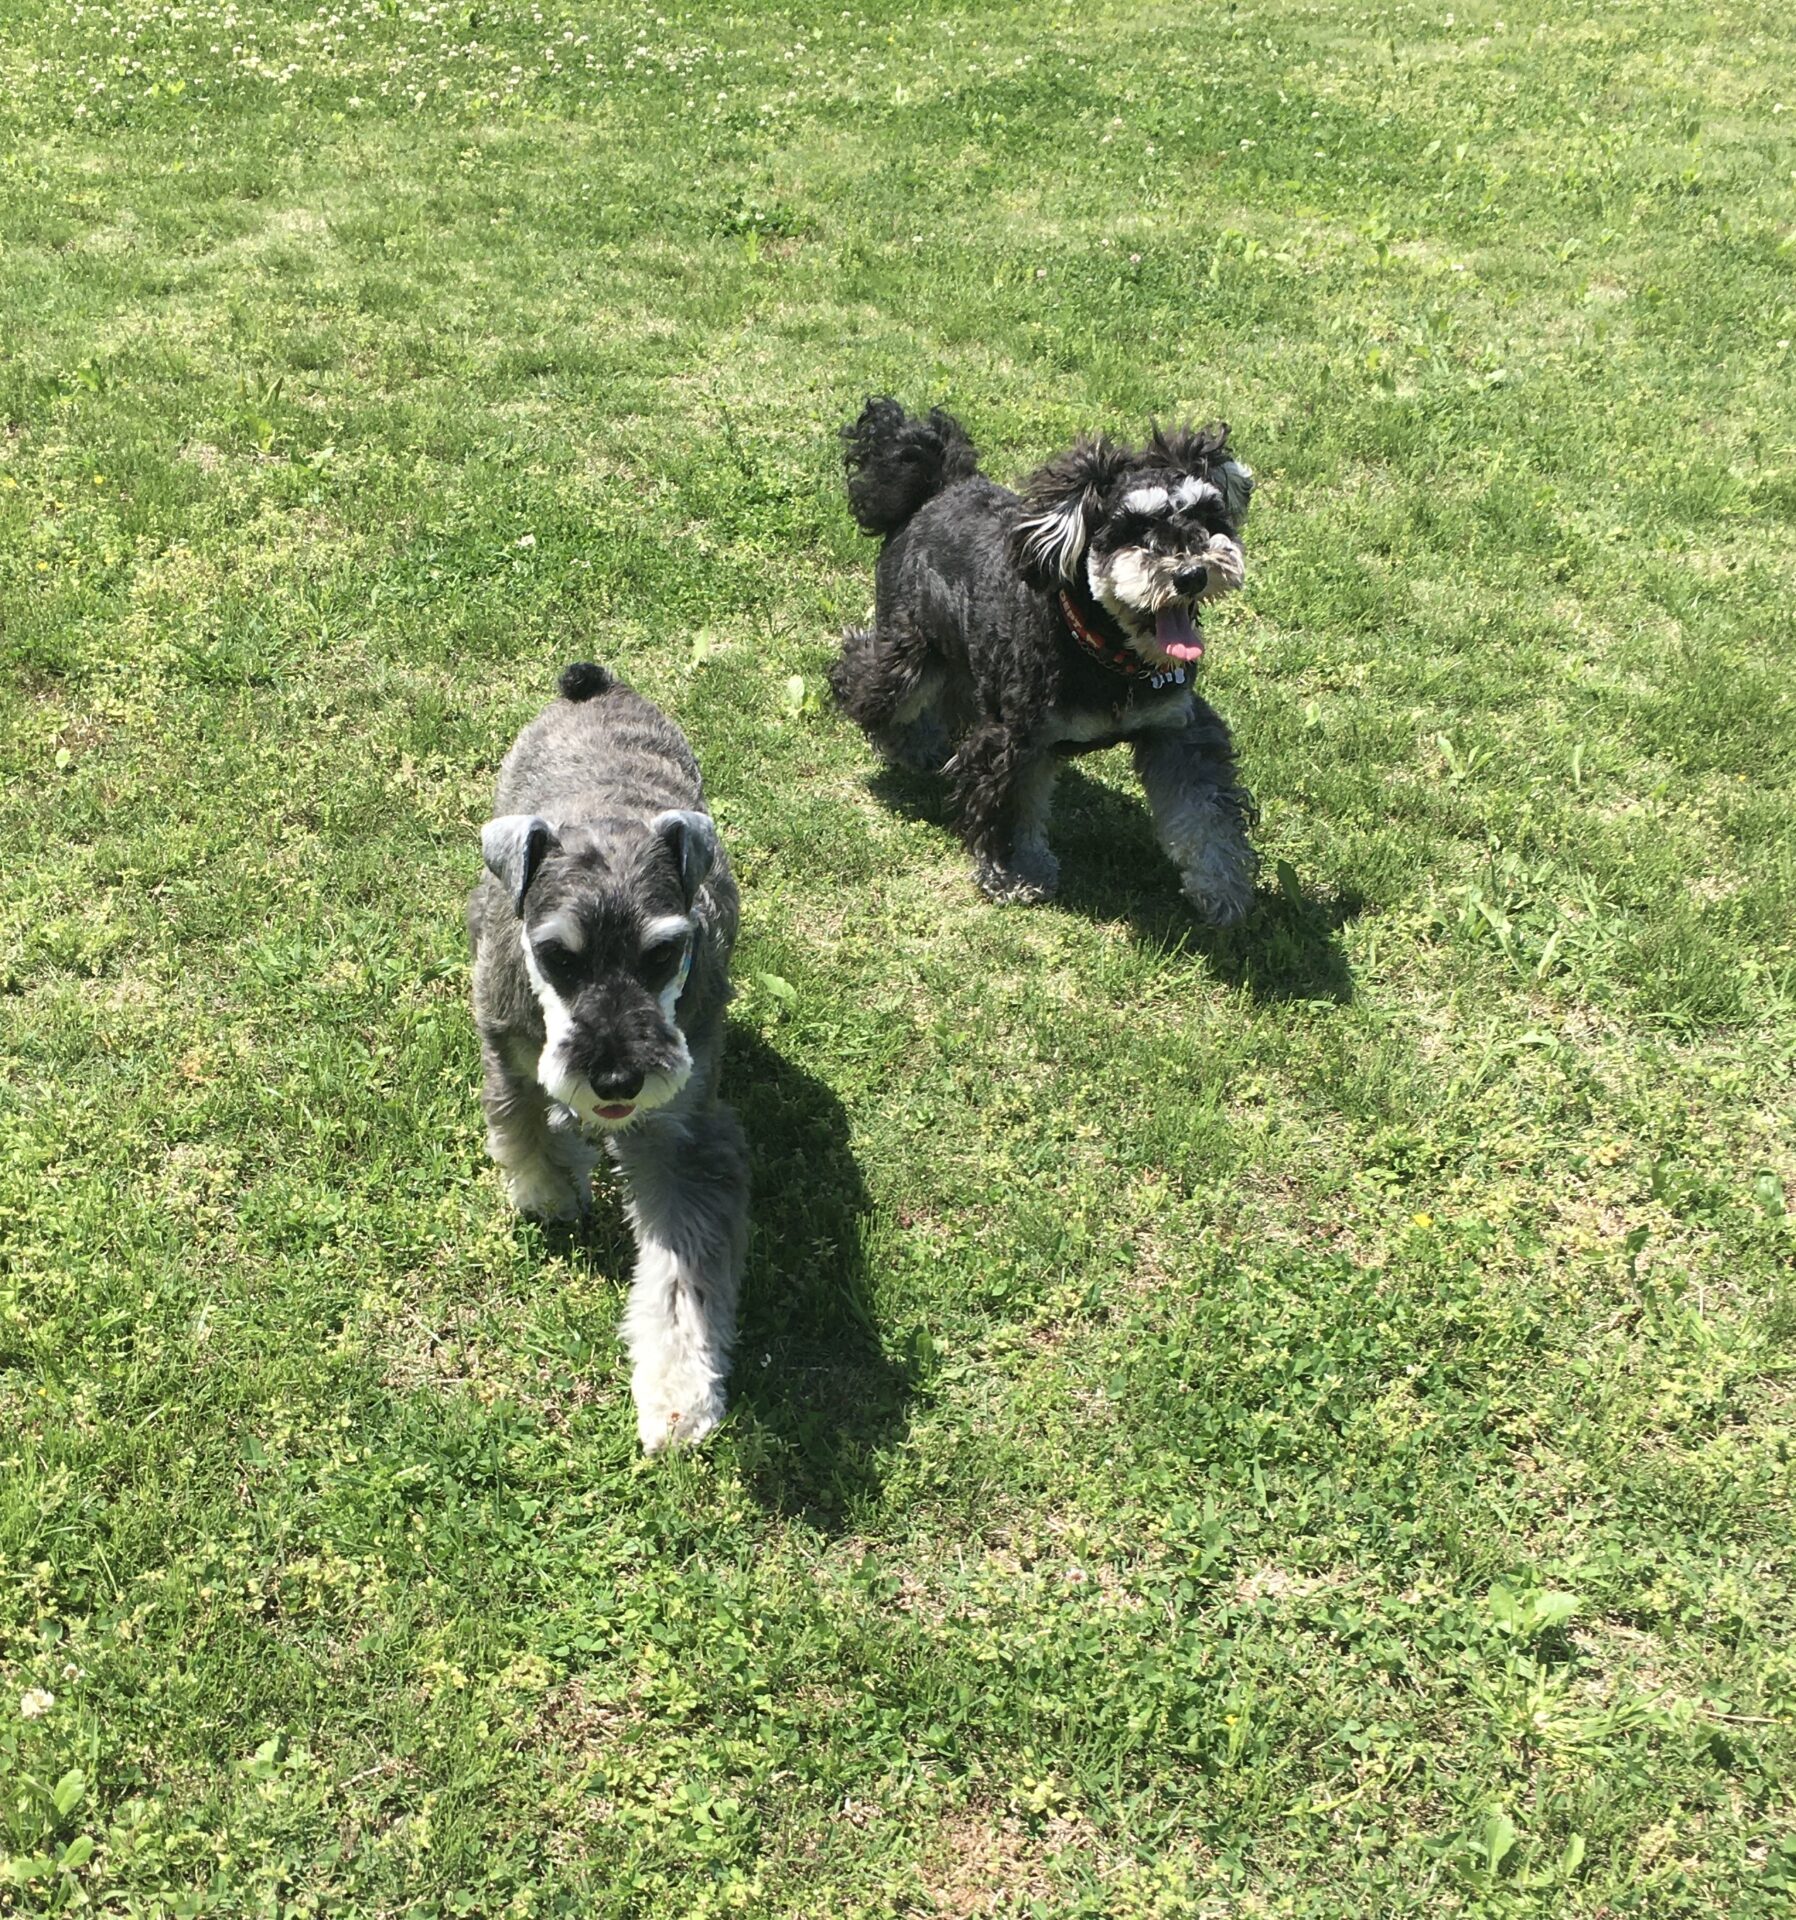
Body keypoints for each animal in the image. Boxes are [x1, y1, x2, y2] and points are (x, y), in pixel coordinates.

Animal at [468, 662, 748, 1453]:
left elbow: (682, 1280)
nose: (617, 1077)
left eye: (663, 953)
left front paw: (680, 1396)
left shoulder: (682, 1135)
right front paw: (553, 1185)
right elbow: (523, 1124)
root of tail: (595, 684)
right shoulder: (507, 1046)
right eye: (557, 956)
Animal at [829, 399, 1259, 923]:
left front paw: (1222, 887)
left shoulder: (1178, 729)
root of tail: (938, 488)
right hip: (909, 654)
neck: (1106, 654)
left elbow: (1204, 813)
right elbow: (1011, 813)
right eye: (1134, 528)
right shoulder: (1015, 741)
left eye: (1207, 515)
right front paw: (1014, 876)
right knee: (864, 677)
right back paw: (905, 741)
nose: (1193, 573)